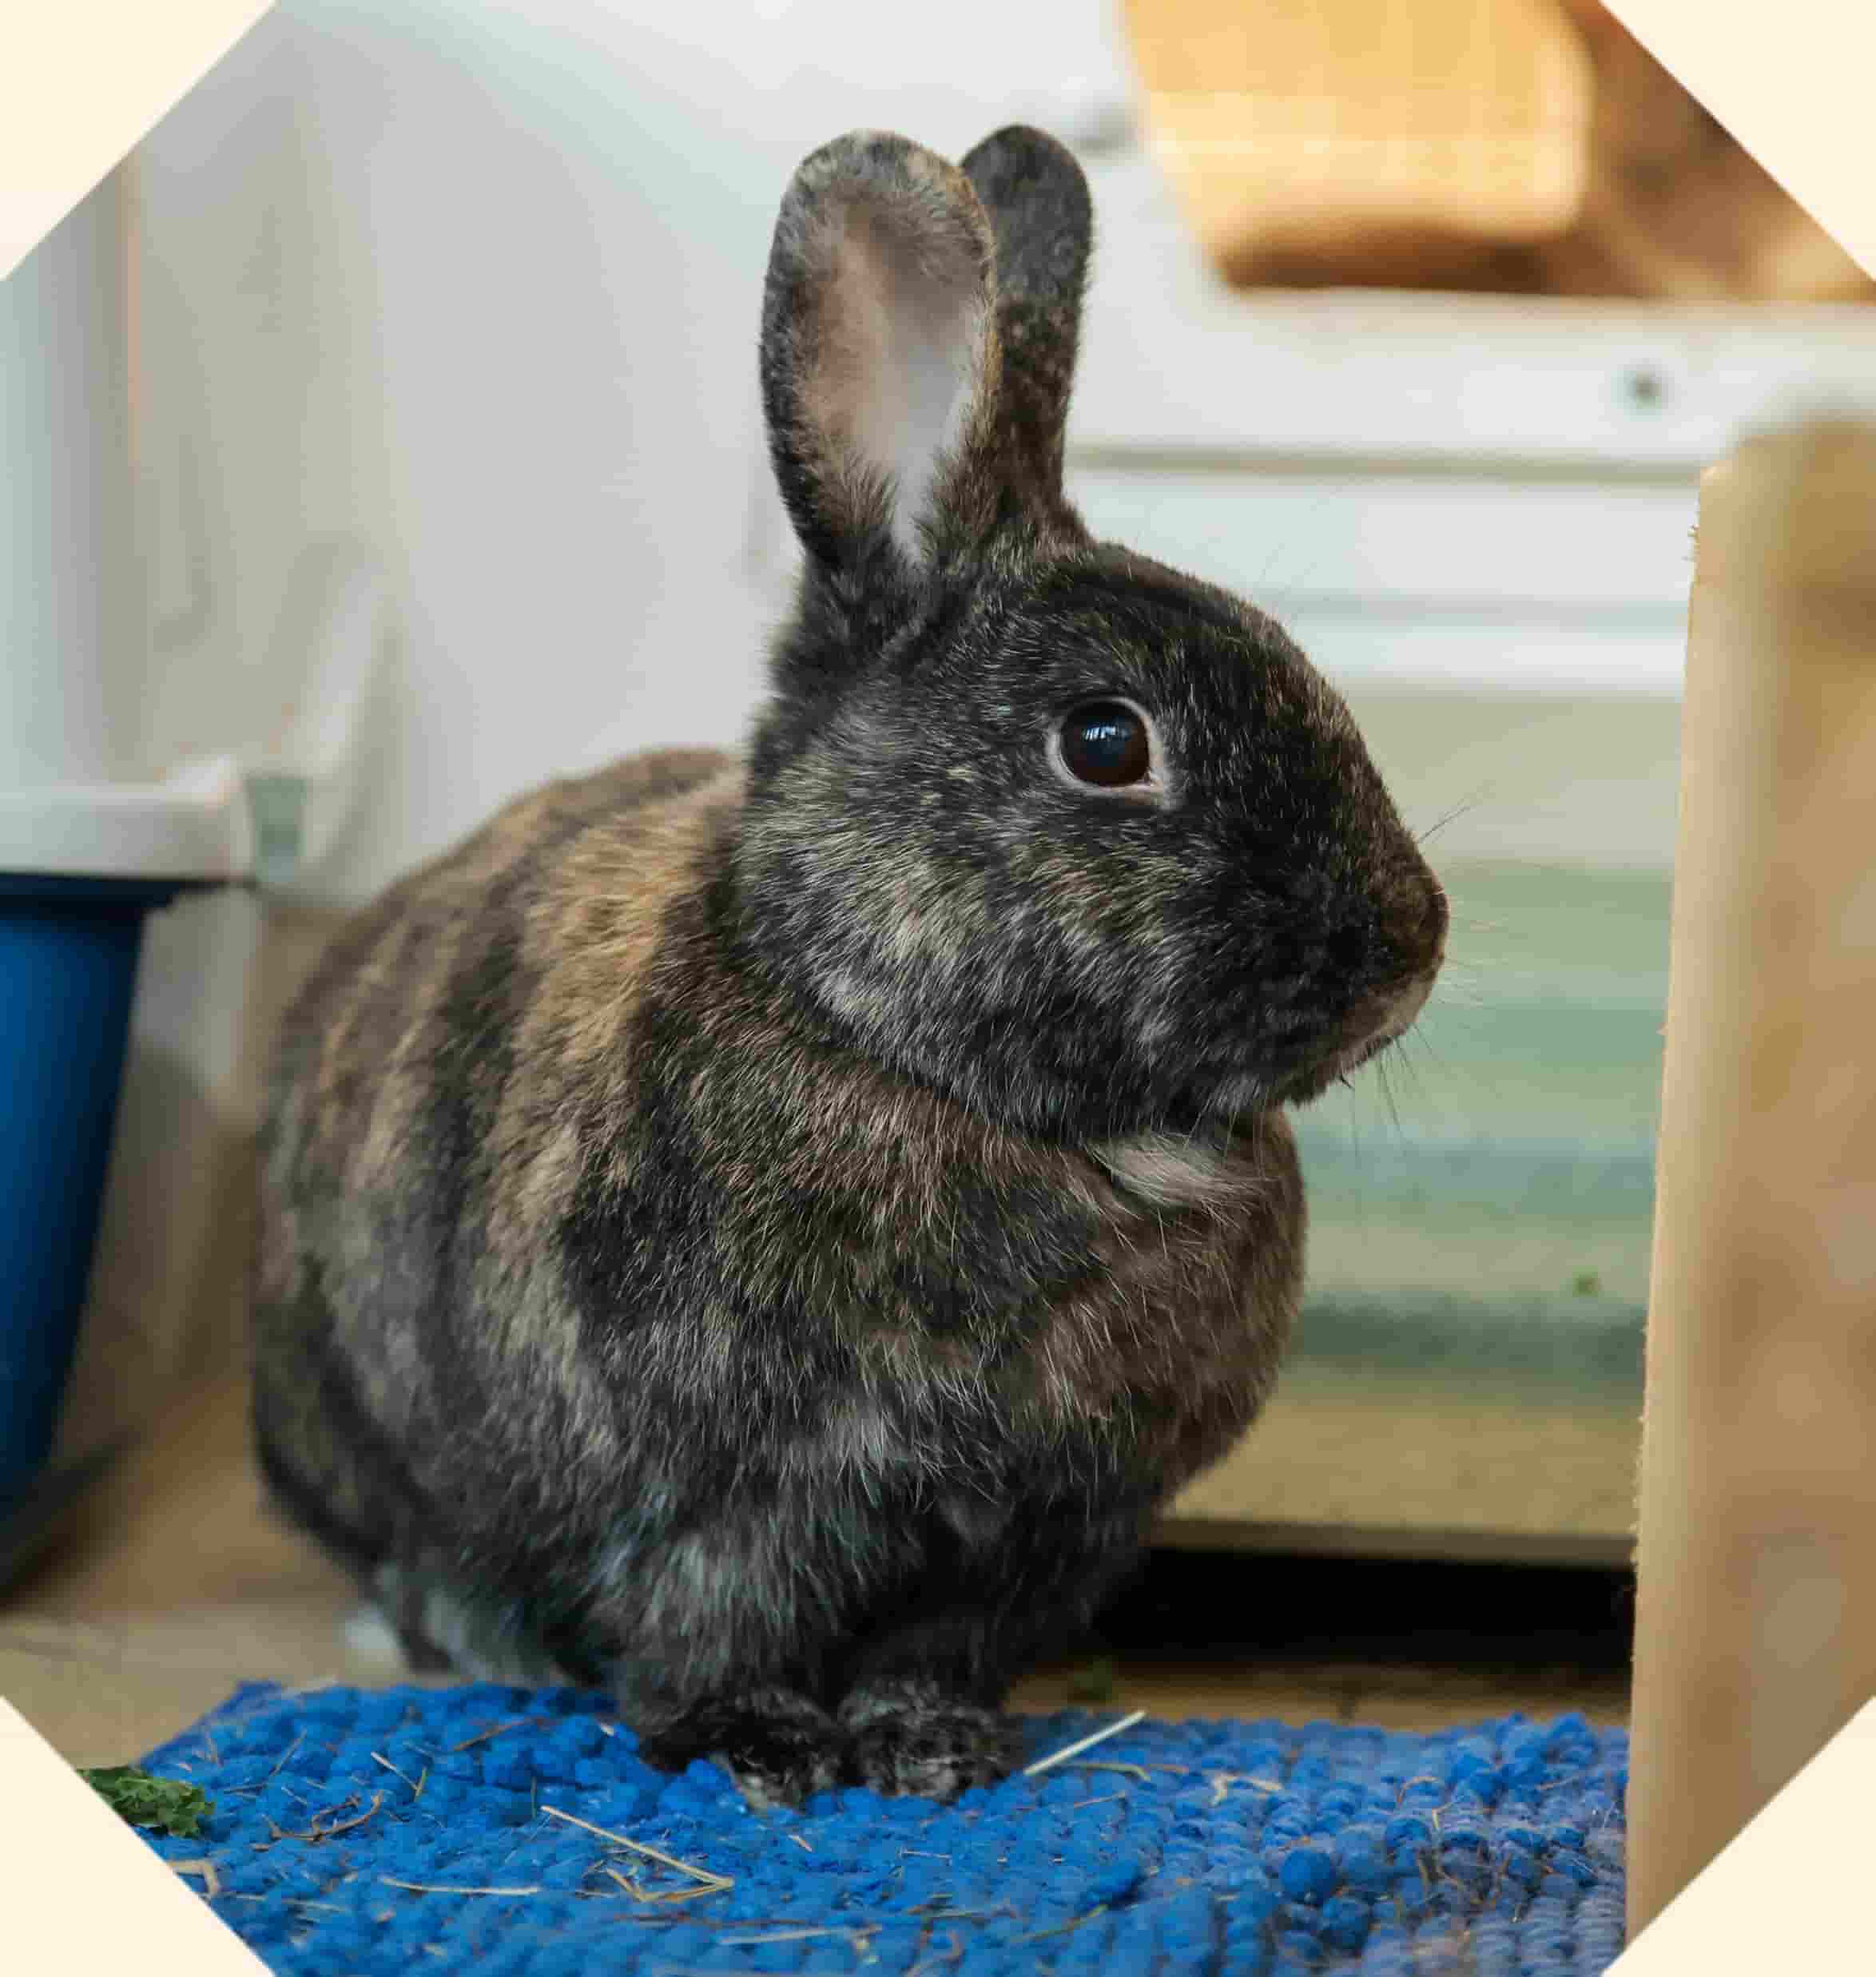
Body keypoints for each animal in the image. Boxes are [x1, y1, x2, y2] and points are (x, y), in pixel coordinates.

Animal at [252, 124, 1447, 1809]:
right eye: (1104, 742)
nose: (1407, 954)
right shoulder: (726, 1508)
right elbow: (712, 1636)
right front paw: (766, 1750)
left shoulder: (1030, 1542)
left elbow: (933, 1652)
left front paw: (928, 1748)